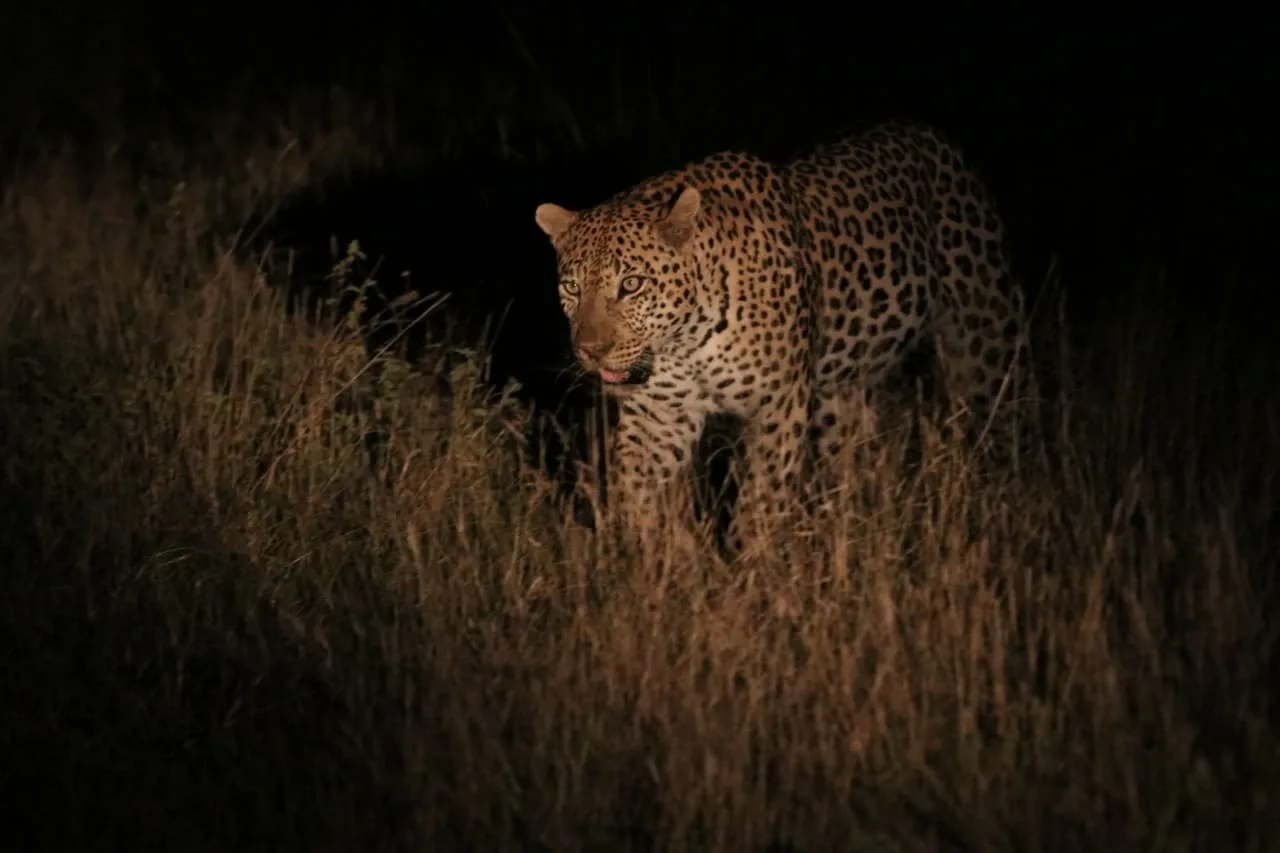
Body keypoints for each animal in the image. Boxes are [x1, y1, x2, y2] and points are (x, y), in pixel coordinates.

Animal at [535, 122, 1034, 555]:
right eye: (571, 288)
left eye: (632, 285)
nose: (591, 351)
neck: (686, 342)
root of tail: (931, 135)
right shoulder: (658, 416)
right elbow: (632, 487)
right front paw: (639, 561)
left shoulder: (779, 403)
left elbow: (762, 501)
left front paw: (754, 577)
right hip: (839, 395)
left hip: (984, 338)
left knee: (998, 416)